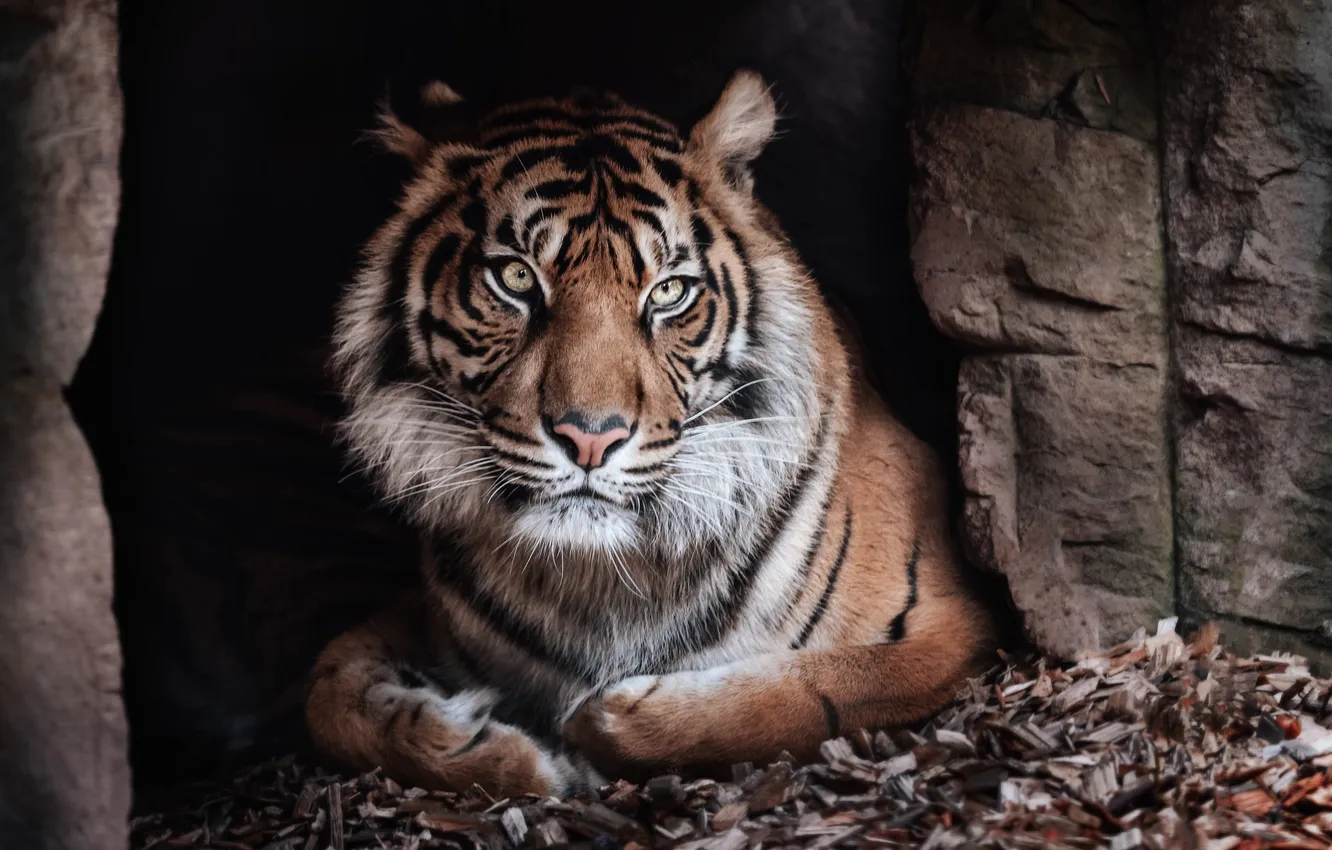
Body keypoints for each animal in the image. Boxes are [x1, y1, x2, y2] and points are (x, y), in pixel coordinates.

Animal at [305, 70, 998, 796]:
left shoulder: (955, 624)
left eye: (668, 292)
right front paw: (503, 753)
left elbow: (822, 692)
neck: (601, 578)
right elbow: (331, 696)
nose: (589, 438)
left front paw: (602, 720)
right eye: (516, 277)